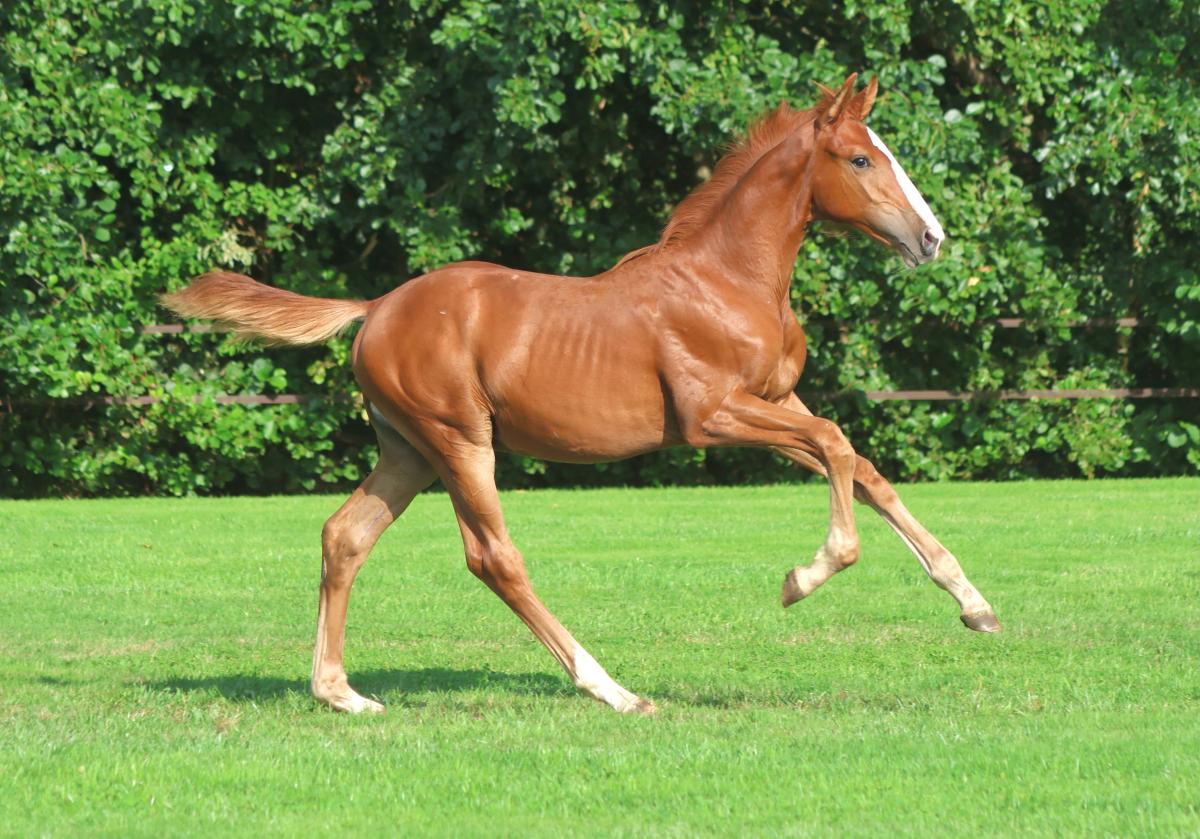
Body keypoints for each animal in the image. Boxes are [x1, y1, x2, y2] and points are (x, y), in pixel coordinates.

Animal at [163, 74, 1000, 716]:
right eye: (859, 157)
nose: (931, 238)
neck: (727, 277)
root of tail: (374, 308)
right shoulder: (711, 417)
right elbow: (836, 445)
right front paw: (804, 577)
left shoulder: (777, 401)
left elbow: (863, 467)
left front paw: (974, 601)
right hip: (459, 439)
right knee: (493, 557)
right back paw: (612, 688)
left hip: (408, 449)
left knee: (345, 535)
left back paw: (341, 693)